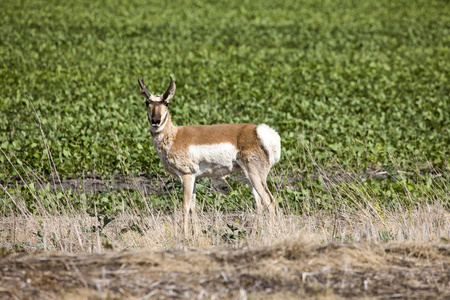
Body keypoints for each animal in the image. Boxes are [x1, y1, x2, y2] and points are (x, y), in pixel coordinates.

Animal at [139, 76, 282, 236]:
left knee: (269, 201)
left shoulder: (186, 176)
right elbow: (193, 207)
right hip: (249, 177)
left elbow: (185, 206)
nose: (155, 121)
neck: (174, 136)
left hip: (255, 176)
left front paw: (185, 236)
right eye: (147, 102)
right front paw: (195, 235)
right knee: (259, 203)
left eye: (167, 103)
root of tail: (257, 131)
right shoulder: (194, 177)